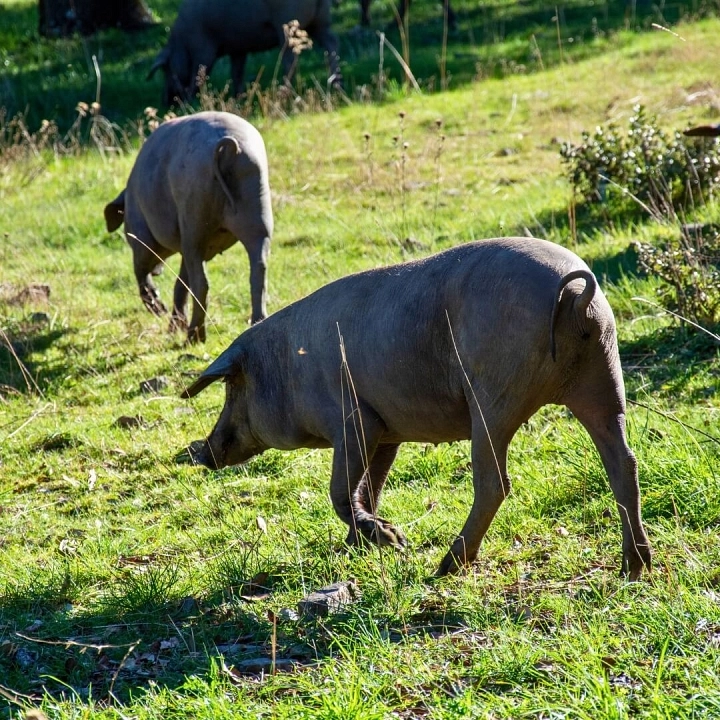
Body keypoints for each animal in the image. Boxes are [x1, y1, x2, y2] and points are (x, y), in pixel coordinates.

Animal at [105, 112, 274, 344]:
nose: (158, 271)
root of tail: (228, 146)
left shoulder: (142, 235)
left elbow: (142, 271)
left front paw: (159, 310)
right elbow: (180, 282)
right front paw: (172, 327)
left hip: (193, 217)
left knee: (200, 284)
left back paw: (193, 336)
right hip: (258, 216)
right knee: (258, 272)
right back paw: (256, 322)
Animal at [181, 239, 652, 576]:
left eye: (232, 387)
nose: (202, 452)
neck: (288, 367)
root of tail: (574, 292)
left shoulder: (354, 419)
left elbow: (341, 491)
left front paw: (395, 542)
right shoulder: (386, 430)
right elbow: (368, 487)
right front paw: (355, 549)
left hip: (494, 398)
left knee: (495, 482)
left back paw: (445, 567)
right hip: (603, 375)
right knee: (623, 462)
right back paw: (634, 567)